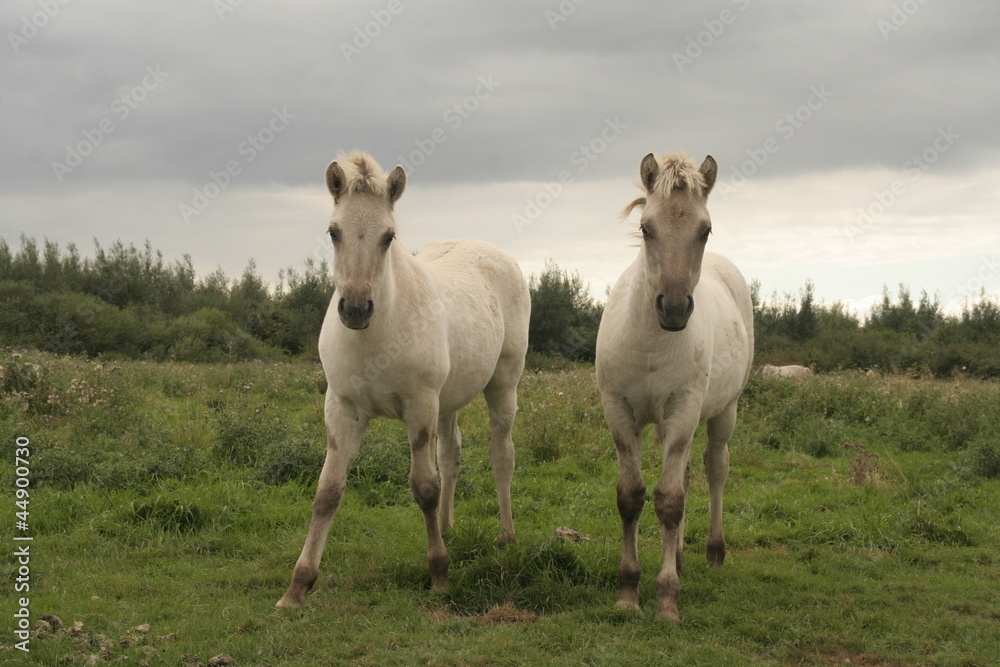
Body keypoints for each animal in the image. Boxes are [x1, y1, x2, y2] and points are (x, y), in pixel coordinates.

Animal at [276, 152, 530, 609]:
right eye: (333, 232)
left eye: (388, 236)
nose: (356, 308)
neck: (375, 336)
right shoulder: (342, 408)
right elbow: (327, 493)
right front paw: (297, 586)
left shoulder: (420, 406)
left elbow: (423, 487)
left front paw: (439, 574)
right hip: (449, 400)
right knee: (451, 455)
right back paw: (446, 527)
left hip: (502, 386)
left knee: (501, 455)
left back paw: (505, 535)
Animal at [595, 152, 754, 622]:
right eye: (647, 228)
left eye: (705, 230)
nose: (675, 308)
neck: (651, 340)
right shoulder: (620, 413)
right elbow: (631, 496)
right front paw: (628, 593)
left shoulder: (683, 410)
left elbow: (669, 500)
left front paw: (667, 600)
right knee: (684, 473)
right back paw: (679, 555)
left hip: (722, 412)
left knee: (714, 469)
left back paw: (713, 551)